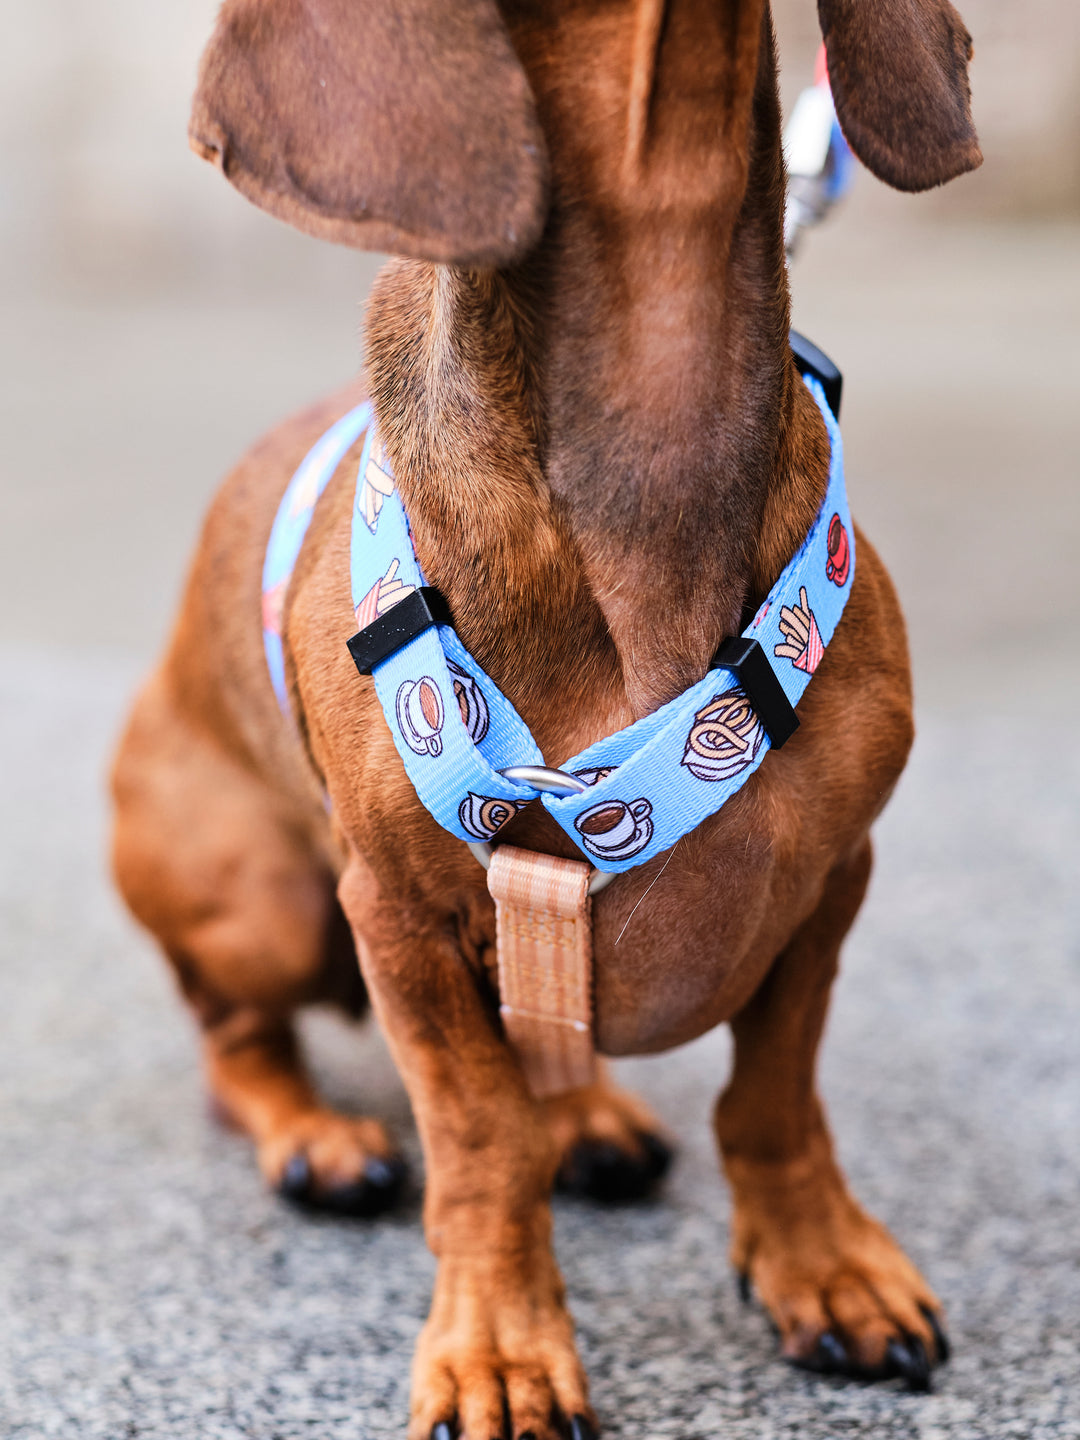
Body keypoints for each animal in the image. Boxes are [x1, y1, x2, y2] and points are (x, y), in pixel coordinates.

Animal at [110, 5, 979, 1434]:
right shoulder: (394, 919)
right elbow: (480, 1137)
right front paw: (500, 1350)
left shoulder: (828, 882)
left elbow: (774, 1097)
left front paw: (825, 1268)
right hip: (264, 903)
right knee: (237, 1045)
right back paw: (318, 1139)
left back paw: (590, 1119)